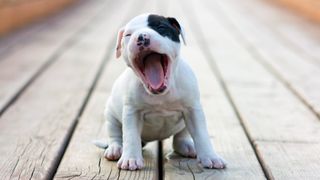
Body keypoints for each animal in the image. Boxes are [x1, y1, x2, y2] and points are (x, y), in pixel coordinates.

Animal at [99, 13, 226, 170]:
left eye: (160, 27)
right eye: (128, 35)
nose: (140, 37)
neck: (162, 94)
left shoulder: (193, 110)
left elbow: (201, 134)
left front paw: (211, 157)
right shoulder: (131, 113)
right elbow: (130, 135)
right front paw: (131, 159)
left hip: (184, 123)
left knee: (180, 137)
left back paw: (187, 146)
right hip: (110, 115)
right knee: (115, 134)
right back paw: (115, 149)